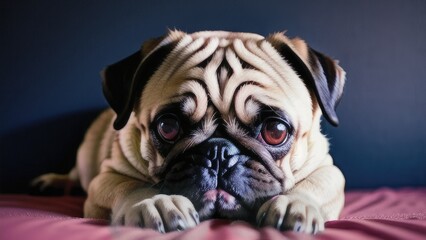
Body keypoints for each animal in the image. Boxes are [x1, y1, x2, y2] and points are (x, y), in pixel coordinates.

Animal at [33, 30, 346, 234]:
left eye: (276, 131)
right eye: (168, 127)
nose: (219, 152)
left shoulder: (329, 171)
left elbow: (311, 185)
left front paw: (294, 204)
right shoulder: (106, 177)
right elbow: (130, 185)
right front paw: (156, 202)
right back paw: (52, 182)